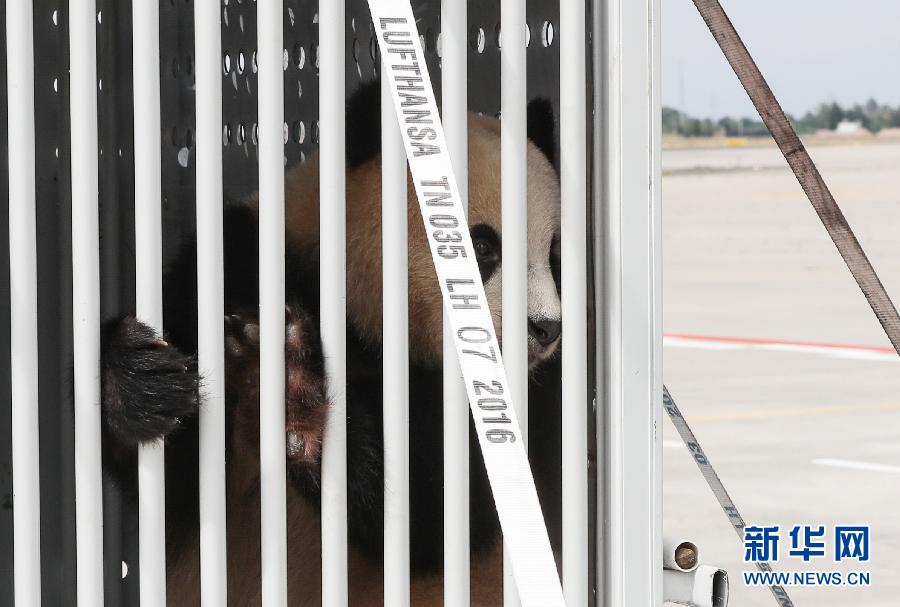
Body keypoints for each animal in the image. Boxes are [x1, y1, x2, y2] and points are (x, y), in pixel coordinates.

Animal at [100, 82, 564, 607]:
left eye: (553, 255)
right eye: (481, 247)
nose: (545, 328)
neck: (360, 326)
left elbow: (440, 512)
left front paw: (293, 394)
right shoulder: (239, 262)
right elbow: (173, 481)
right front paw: (144, 380)